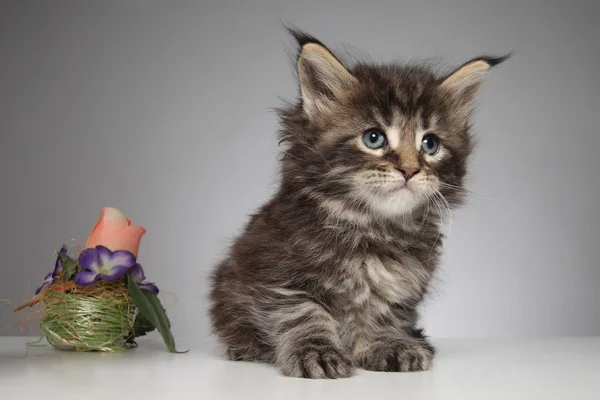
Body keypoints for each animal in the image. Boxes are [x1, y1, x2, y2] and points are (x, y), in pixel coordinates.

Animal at [209, 28, 504, 378]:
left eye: (430, 144)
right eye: (373, 138)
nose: (410, 169)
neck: (371, 231)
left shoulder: (399, 287)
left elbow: (383, 314)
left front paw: (387, 344)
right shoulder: (276, 274)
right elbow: (303, 313)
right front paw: (316, 352)